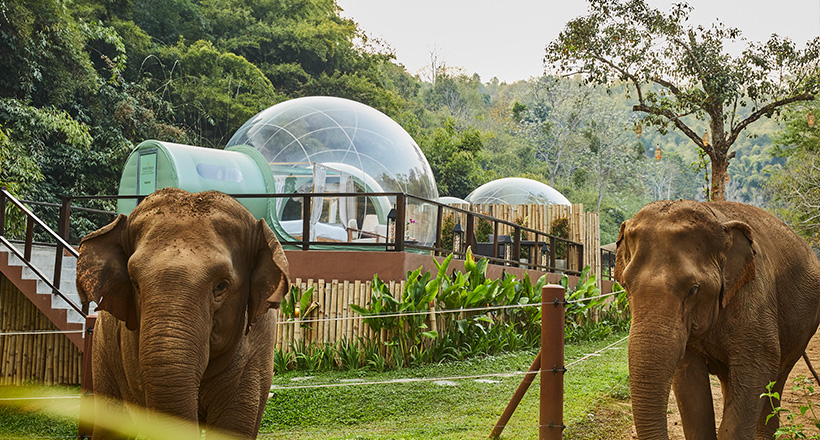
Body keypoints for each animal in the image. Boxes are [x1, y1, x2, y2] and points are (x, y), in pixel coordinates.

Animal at [620, 200, 820, 440]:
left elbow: (758, 366)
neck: (717, 218)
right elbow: (689, 381)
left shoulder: (753, 296)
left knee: (777, 379)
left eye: (693, 289)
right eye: (625, 286)